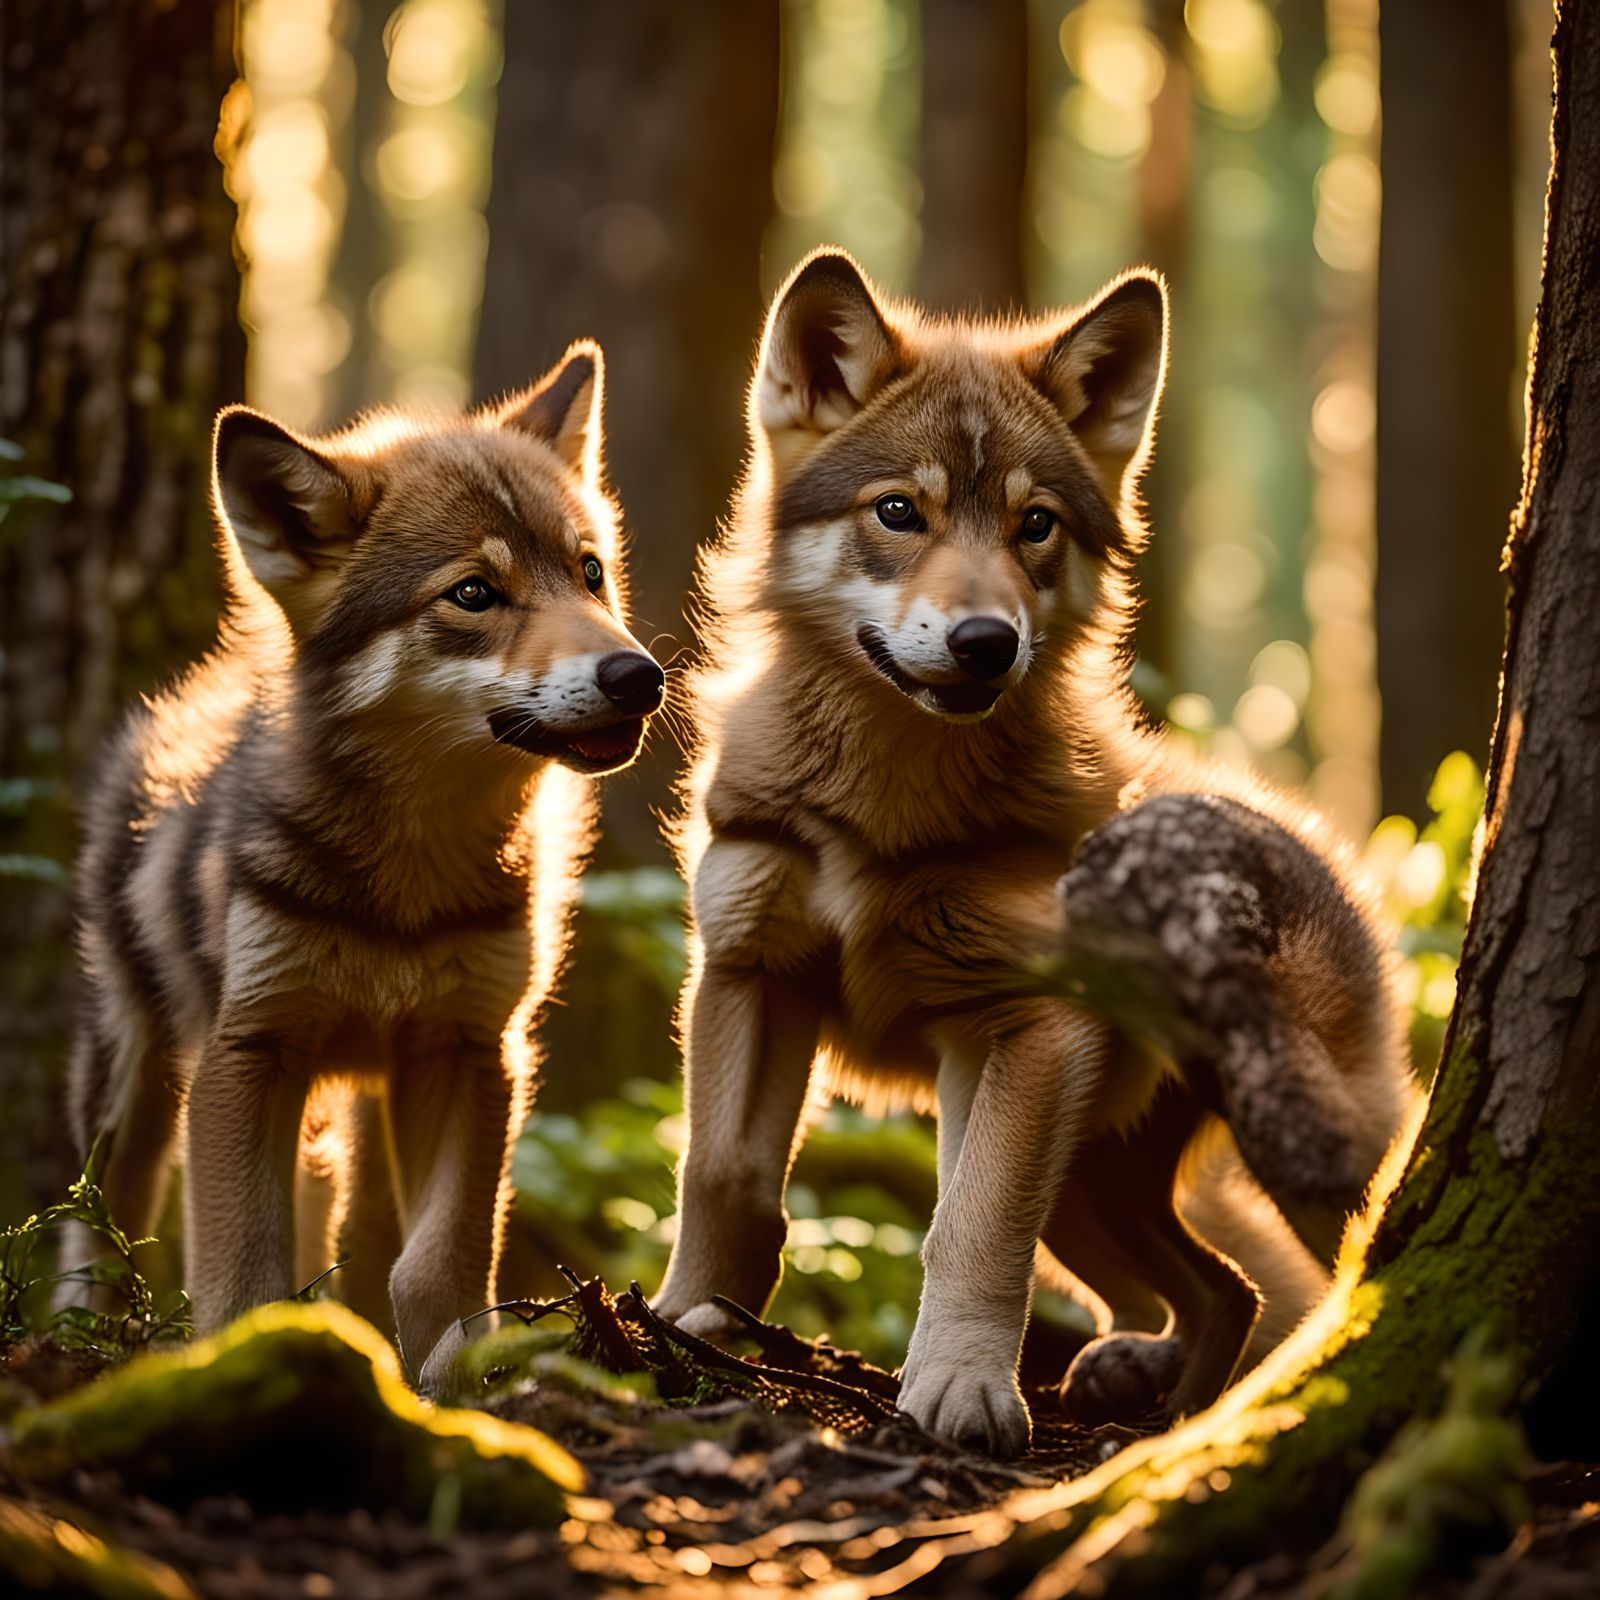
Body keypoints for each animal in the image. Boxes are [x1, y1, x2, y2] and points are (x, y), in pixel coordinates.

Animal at [64, 343, 664, 1391]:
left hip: (360, 1109)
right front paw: (247, 1365)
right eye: (473, 593)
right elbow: (243, 1263)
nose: (640, 676)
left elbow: (436, 1262)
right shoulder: (247, 1053)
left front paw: (450, 1383)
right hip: (133, 1081)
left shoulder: (471, 1051)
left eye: (590, 573)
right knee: (101, 1227)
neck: (405, 887)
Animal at [654, 249, 1414, 1454]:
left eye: (1037, 525)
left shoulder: (1025, 1031)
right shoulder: (745, 972)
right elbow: (723, 1174)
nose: (984, 642)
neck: (887, 809)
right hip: (1094, 1193)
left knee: (1317, 1266)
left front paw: (959, 1391)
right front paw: (687, 1326)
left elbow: (965, 1225)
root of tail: (1339, 865)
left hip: (1280, 1138)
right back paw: (1169, 1416)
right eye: (899, 512)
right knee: (1226, 1290)